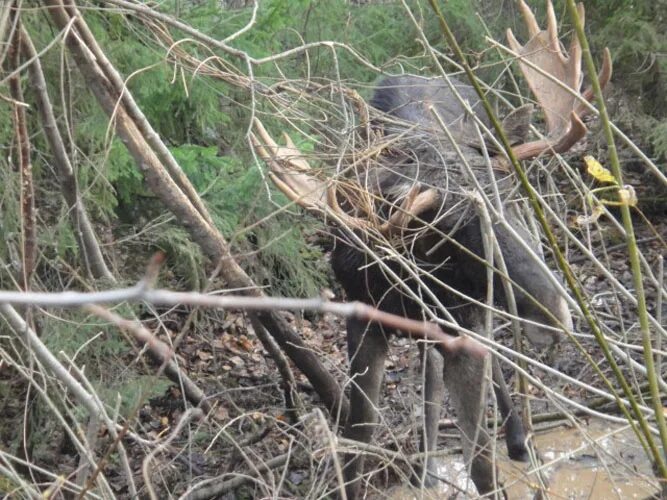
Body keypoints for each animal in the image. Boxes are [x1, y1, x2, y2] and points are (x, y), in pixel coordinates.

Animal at [253, 1, 612, 498]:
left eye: (510, 197)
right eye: (450, 227)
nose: (555, 312)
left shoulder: (468, 325)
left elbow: (481, 463)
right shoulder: (362, 317)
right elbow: (358, 442)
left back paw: (517, 437)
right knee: (430, 376)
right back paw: (426, 463)